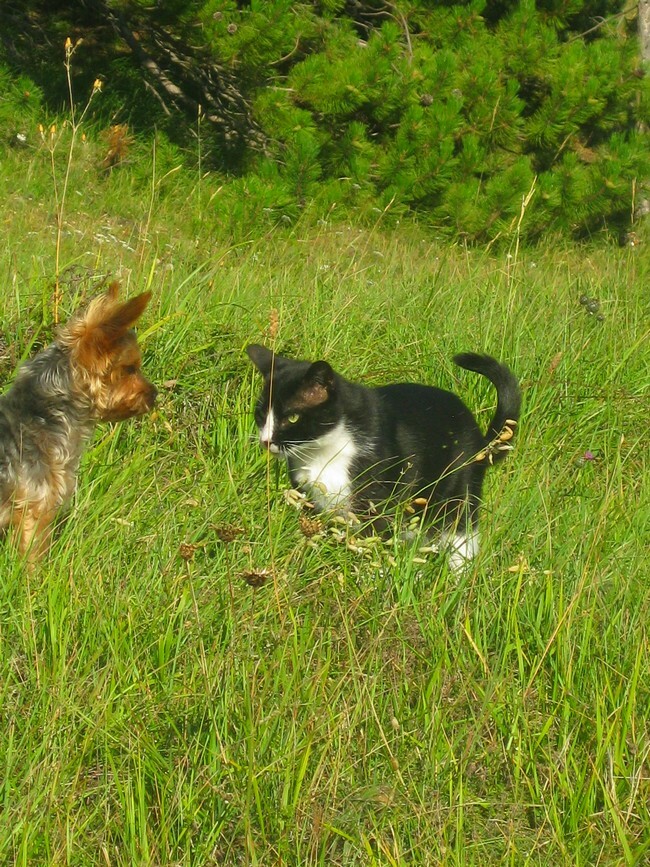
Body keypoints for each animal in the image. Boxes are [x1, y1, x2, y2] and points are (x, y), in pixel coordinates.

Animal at [246, 344, 521, 570]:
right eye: (260, 414)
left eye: (291, 417)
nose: (266, 441)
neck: (322, 453)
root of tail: (480, 440)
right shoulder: (308, 497)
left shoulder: (377, 500)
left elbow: (373, 542)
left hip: (458, 494)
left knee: (462, 537)